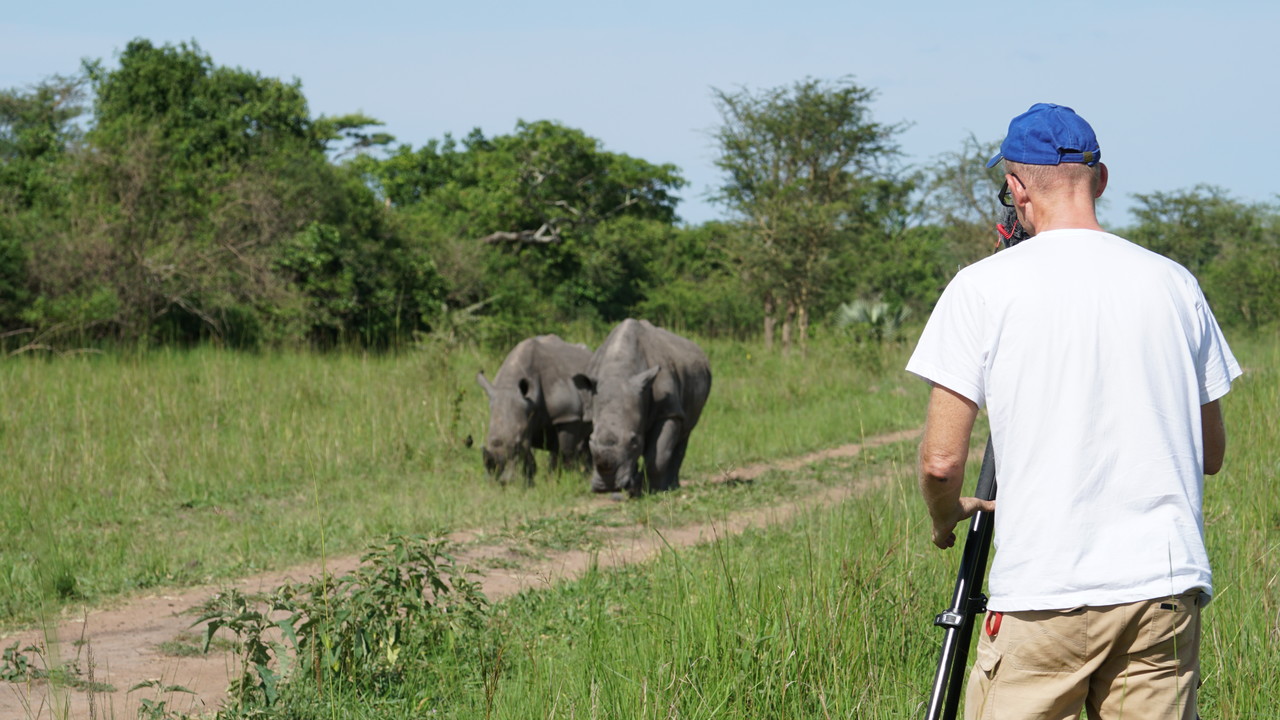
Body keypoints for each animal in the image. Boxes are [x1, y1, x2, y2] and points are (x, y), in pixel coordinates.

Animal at [477, 334, 593, 484]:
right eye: (489, 440)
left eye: (517, 443)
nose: (501, 482)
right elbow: (529, 460)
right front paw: (529, 484)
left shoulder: (567, 415)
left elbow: (564, 453)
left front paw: (558, 482)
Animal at [573, 319, 711, 496]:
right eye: (591, 440)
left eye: (633, 440)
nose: (608, 487)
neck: (619, 370)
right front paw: (630, 488)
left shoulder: (668, 411)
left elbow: (658, 455)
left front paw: (653, 490)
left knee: (684, 432)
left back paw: (672, 486)